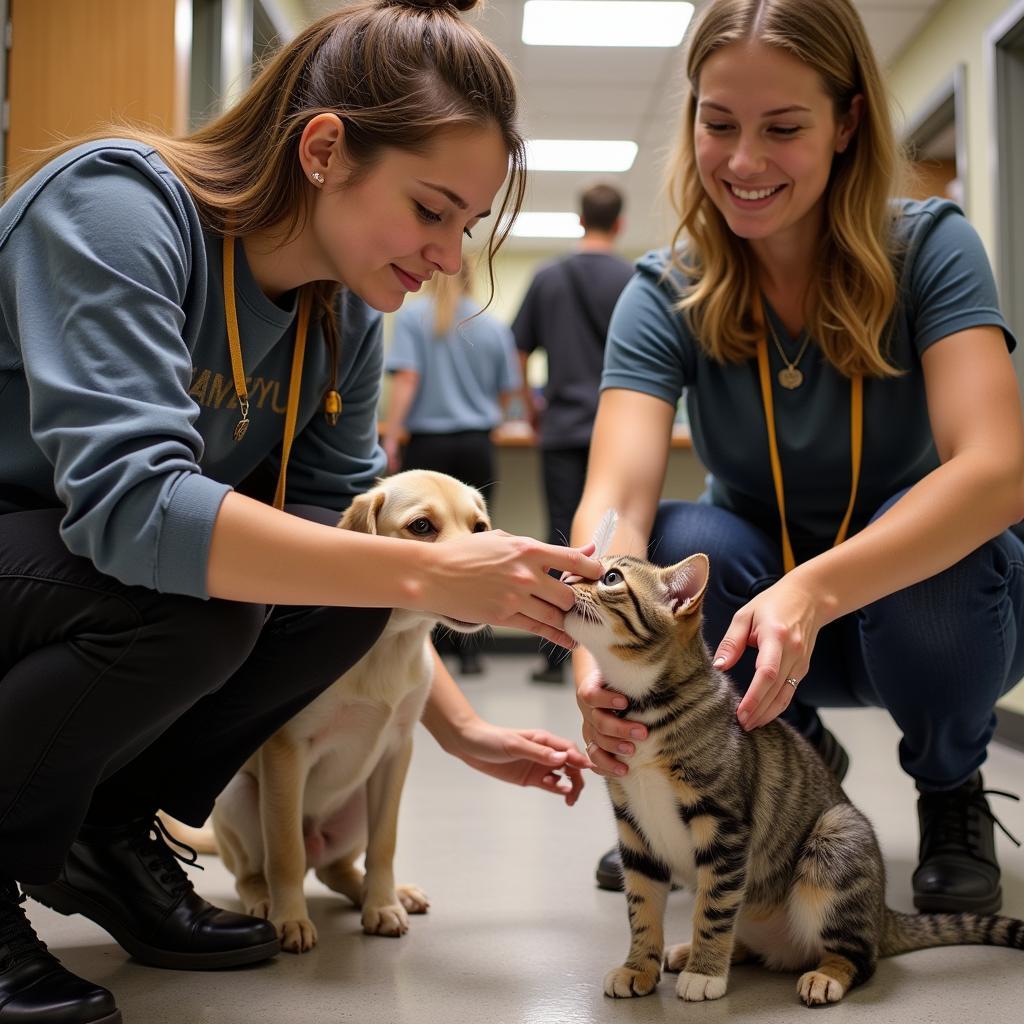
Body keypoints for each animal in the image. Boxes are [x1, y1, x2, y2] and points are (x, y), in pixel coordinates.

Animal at [209, 471, 489, 950]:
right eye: (421, 527)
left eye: (480, 528)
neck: (390, 646)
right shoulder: (288, 751)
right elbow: (284, 850)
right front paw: (291, 918)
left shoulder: (397, 752)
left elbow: (385, 845)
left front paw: (383, 905)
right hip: (237, 798)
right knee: (254, 871)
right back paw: (264, 902)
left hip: (356, 807)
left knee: (334, 869)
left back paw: (388, 894)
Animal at [569, 557, 1024, 1003]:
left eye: (611, 577)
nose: (567, 575)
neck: (645, 704)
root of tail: (881, 915)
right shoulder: (634, 831)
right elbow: (642, 908)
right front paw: (638, 969)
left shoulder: (724, 826)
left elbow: (714, 908)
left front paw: (705, 973)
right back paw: (695, 952)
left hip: (836, 842)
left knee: (861, 957)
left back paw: (825, 976)